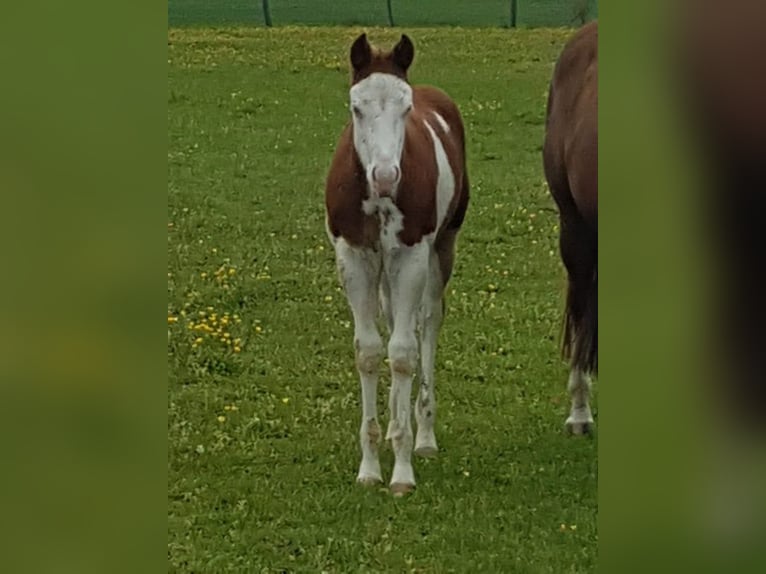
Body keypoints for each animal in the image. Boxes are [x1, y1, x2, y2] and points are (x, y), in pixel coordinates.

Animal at [325, 33, 469, 495]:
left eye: (405, 109)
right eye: (356, 107)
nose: (386, 176)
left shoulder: (410, 255)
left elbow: (404, 353)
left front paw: (403, 471)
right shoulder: (354, 256)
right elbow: (370, 352)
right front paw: (370, 466)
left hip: (440, 249)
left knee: (427, 324)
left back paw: (422, 436)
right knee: (392, 323)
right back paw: (392, 426)